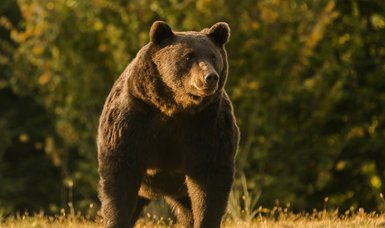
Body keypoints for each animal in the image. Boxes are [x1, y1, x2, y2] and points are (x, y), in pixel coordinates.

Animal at [97, 20, 238, 227]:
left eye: (213, 56)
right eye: (188, 56)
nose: (210, 77)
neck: (175, 107)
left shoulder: (207, 125)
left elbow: (210, 181)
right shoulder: (133, 119)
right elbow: (119, 175)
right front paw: (116, 220)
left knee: (187, 209)